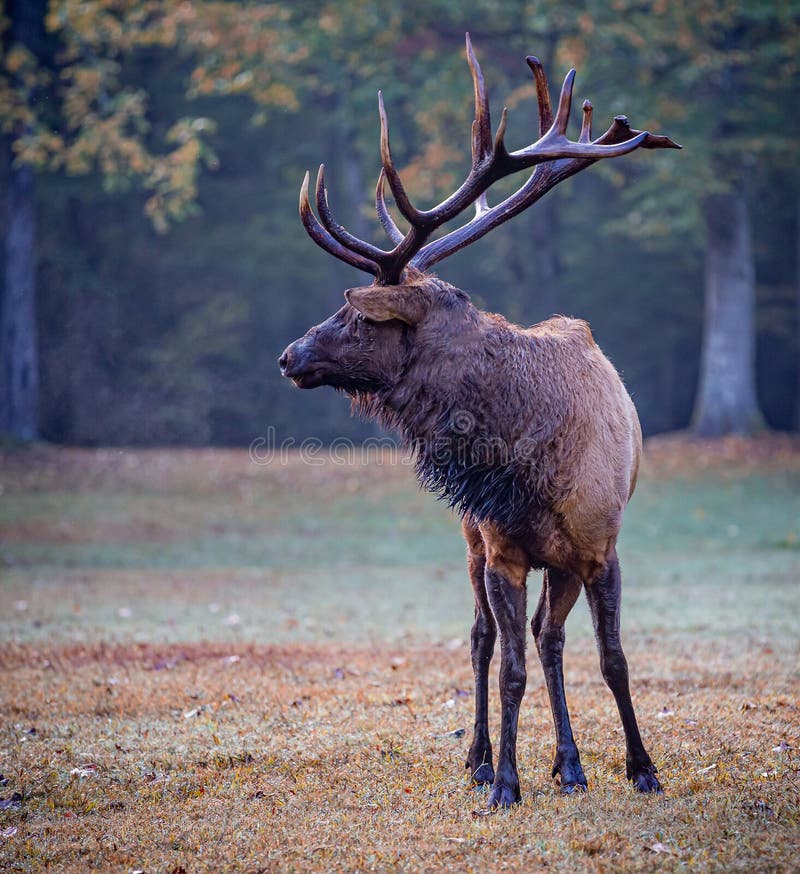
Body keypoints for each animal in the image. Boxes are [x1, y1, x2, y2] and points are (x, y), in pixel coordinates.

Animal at [279, 34, 680, 809]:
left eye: (356, 318)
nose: (289, 355)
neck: (534, 460)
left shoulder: (601, 543)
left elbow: (613, 658)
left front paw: (641, 767)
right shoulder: (502, 549)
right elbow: (508, 667)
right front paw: (505, 782)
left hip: (559, 561)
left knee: (550, 638)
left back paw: (570, 764)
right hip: (471, 539)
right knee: (484, 640)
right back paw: (485, 758)